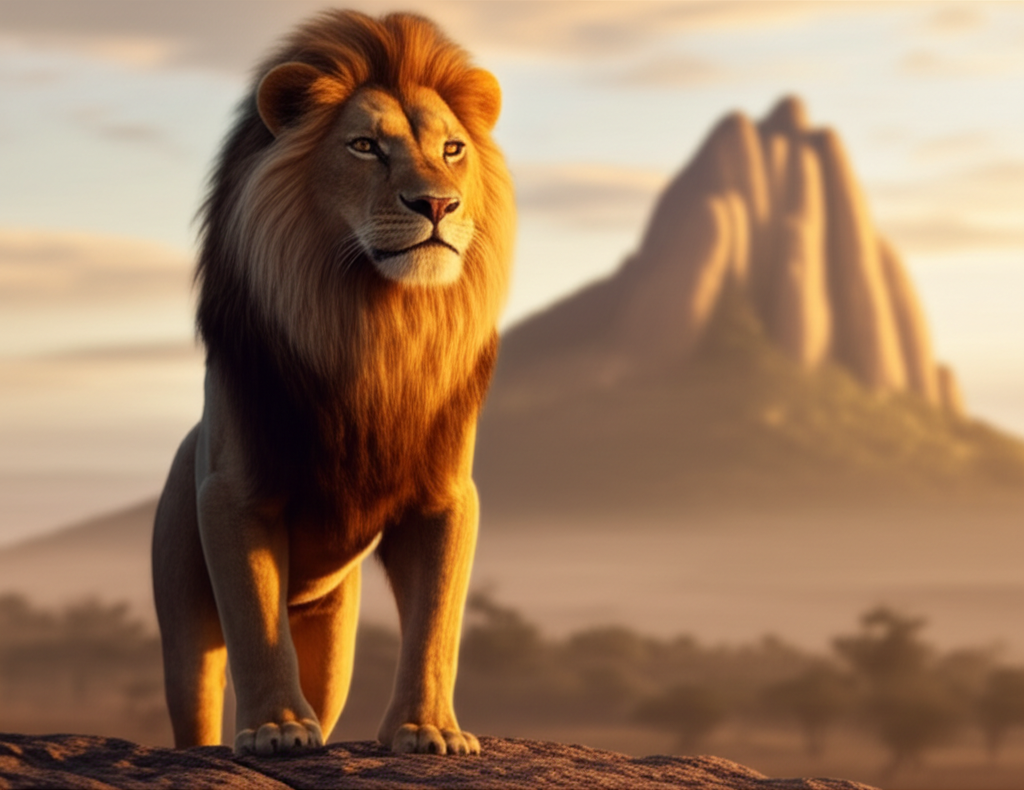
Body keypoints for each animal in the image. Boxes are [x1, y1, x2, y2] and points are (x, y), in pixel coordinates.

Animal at [151, 10, 514, 757]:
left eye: (453, 149)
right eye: (366, 146)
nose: (438, 203)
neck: (374, 327)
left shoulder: (445, 499)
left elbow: (436, 625)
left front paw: (429, 730)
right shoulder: (233, 493)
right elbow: (256, 625)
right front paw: (275, 730)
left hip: (333, 625)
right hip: (181, 604)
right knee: (195, 694)